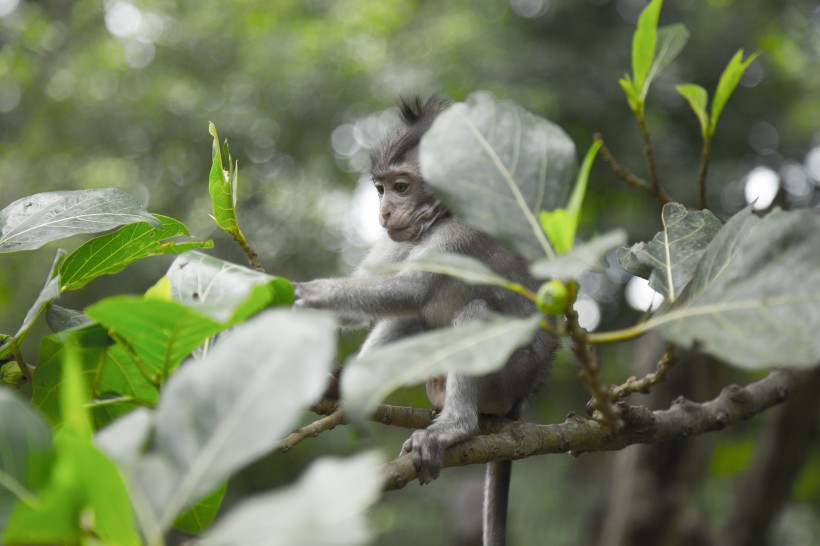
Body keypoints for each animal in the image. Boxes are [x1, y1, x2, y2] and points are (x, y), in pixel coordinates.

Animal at [292, 95, 556, 540]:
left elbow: (411, 289)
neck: (441, 217)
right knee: (411, 319)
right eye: (381, 188)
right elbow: (380, 295)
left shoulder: (463, 231)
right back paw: (347, 386)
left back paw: (455, 426)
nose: (382, 213)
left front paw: (303, 294)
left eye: (402, 187)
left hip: (512, 374)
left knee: (472, 312)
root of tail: (523, 398)